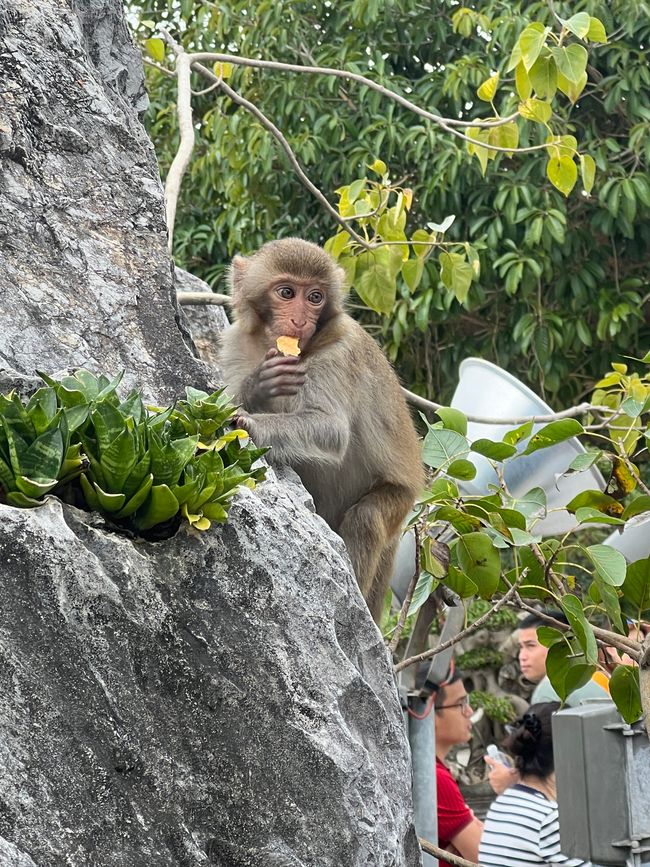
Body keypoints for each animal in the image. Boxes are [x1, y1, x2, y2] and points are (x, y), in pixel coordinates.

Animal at [218, 238, 424, 624]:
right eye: (287, 292)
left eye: (315, 297)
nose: (300, 320)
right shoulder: (235, 343)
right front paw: (260, 386)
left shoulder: (340, 352)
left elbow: (330, 428)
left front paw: (252, 423)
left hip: (400, 502)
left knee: (367, 518)